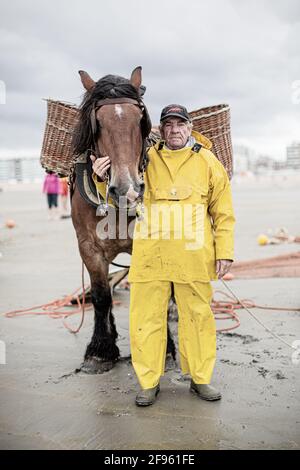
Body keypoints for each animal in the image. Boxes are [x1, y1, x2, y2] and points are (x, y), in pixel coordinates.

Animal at [70, 67, 176, 374]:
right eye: (98, 124)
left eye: (140, 118)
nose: (128, 189)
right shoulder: (88, 247)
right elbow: (101, 295)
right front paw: (100, 350)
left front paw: (165, 347)